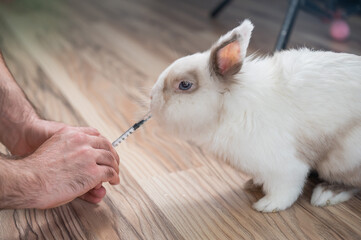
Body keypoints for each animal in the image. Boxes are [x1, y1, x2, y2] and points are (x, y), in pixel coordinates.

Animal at [149, 20, 360, 212]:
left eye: (184, 85)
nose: (151, 98)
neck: (227, 107)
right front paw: (253, 183)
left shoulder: (285, 168)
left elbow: (285, 190)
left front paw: (267, 205)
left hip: (343, 158)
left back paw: (326, 193)